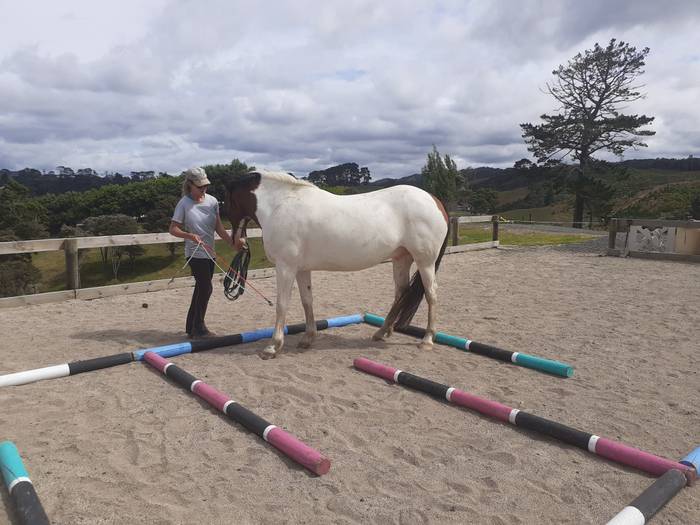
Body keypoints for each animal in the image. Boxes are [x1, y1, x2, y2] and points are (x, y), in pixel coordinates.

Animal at [225, 170, 450, 359]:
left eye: (227, 201)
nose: (236, 241)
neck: (280, 205)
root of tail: (434, 200)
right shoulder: (301, 269)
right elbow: (307, 301)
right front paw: (307, 339)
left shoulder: (285, 267)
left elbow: (282, 304)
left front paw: (272, 346)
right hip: (401, 259)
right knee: (401, 293)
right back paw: (381, 332)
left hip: (425, 262)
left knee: (431, 294)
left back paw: (427, 340)